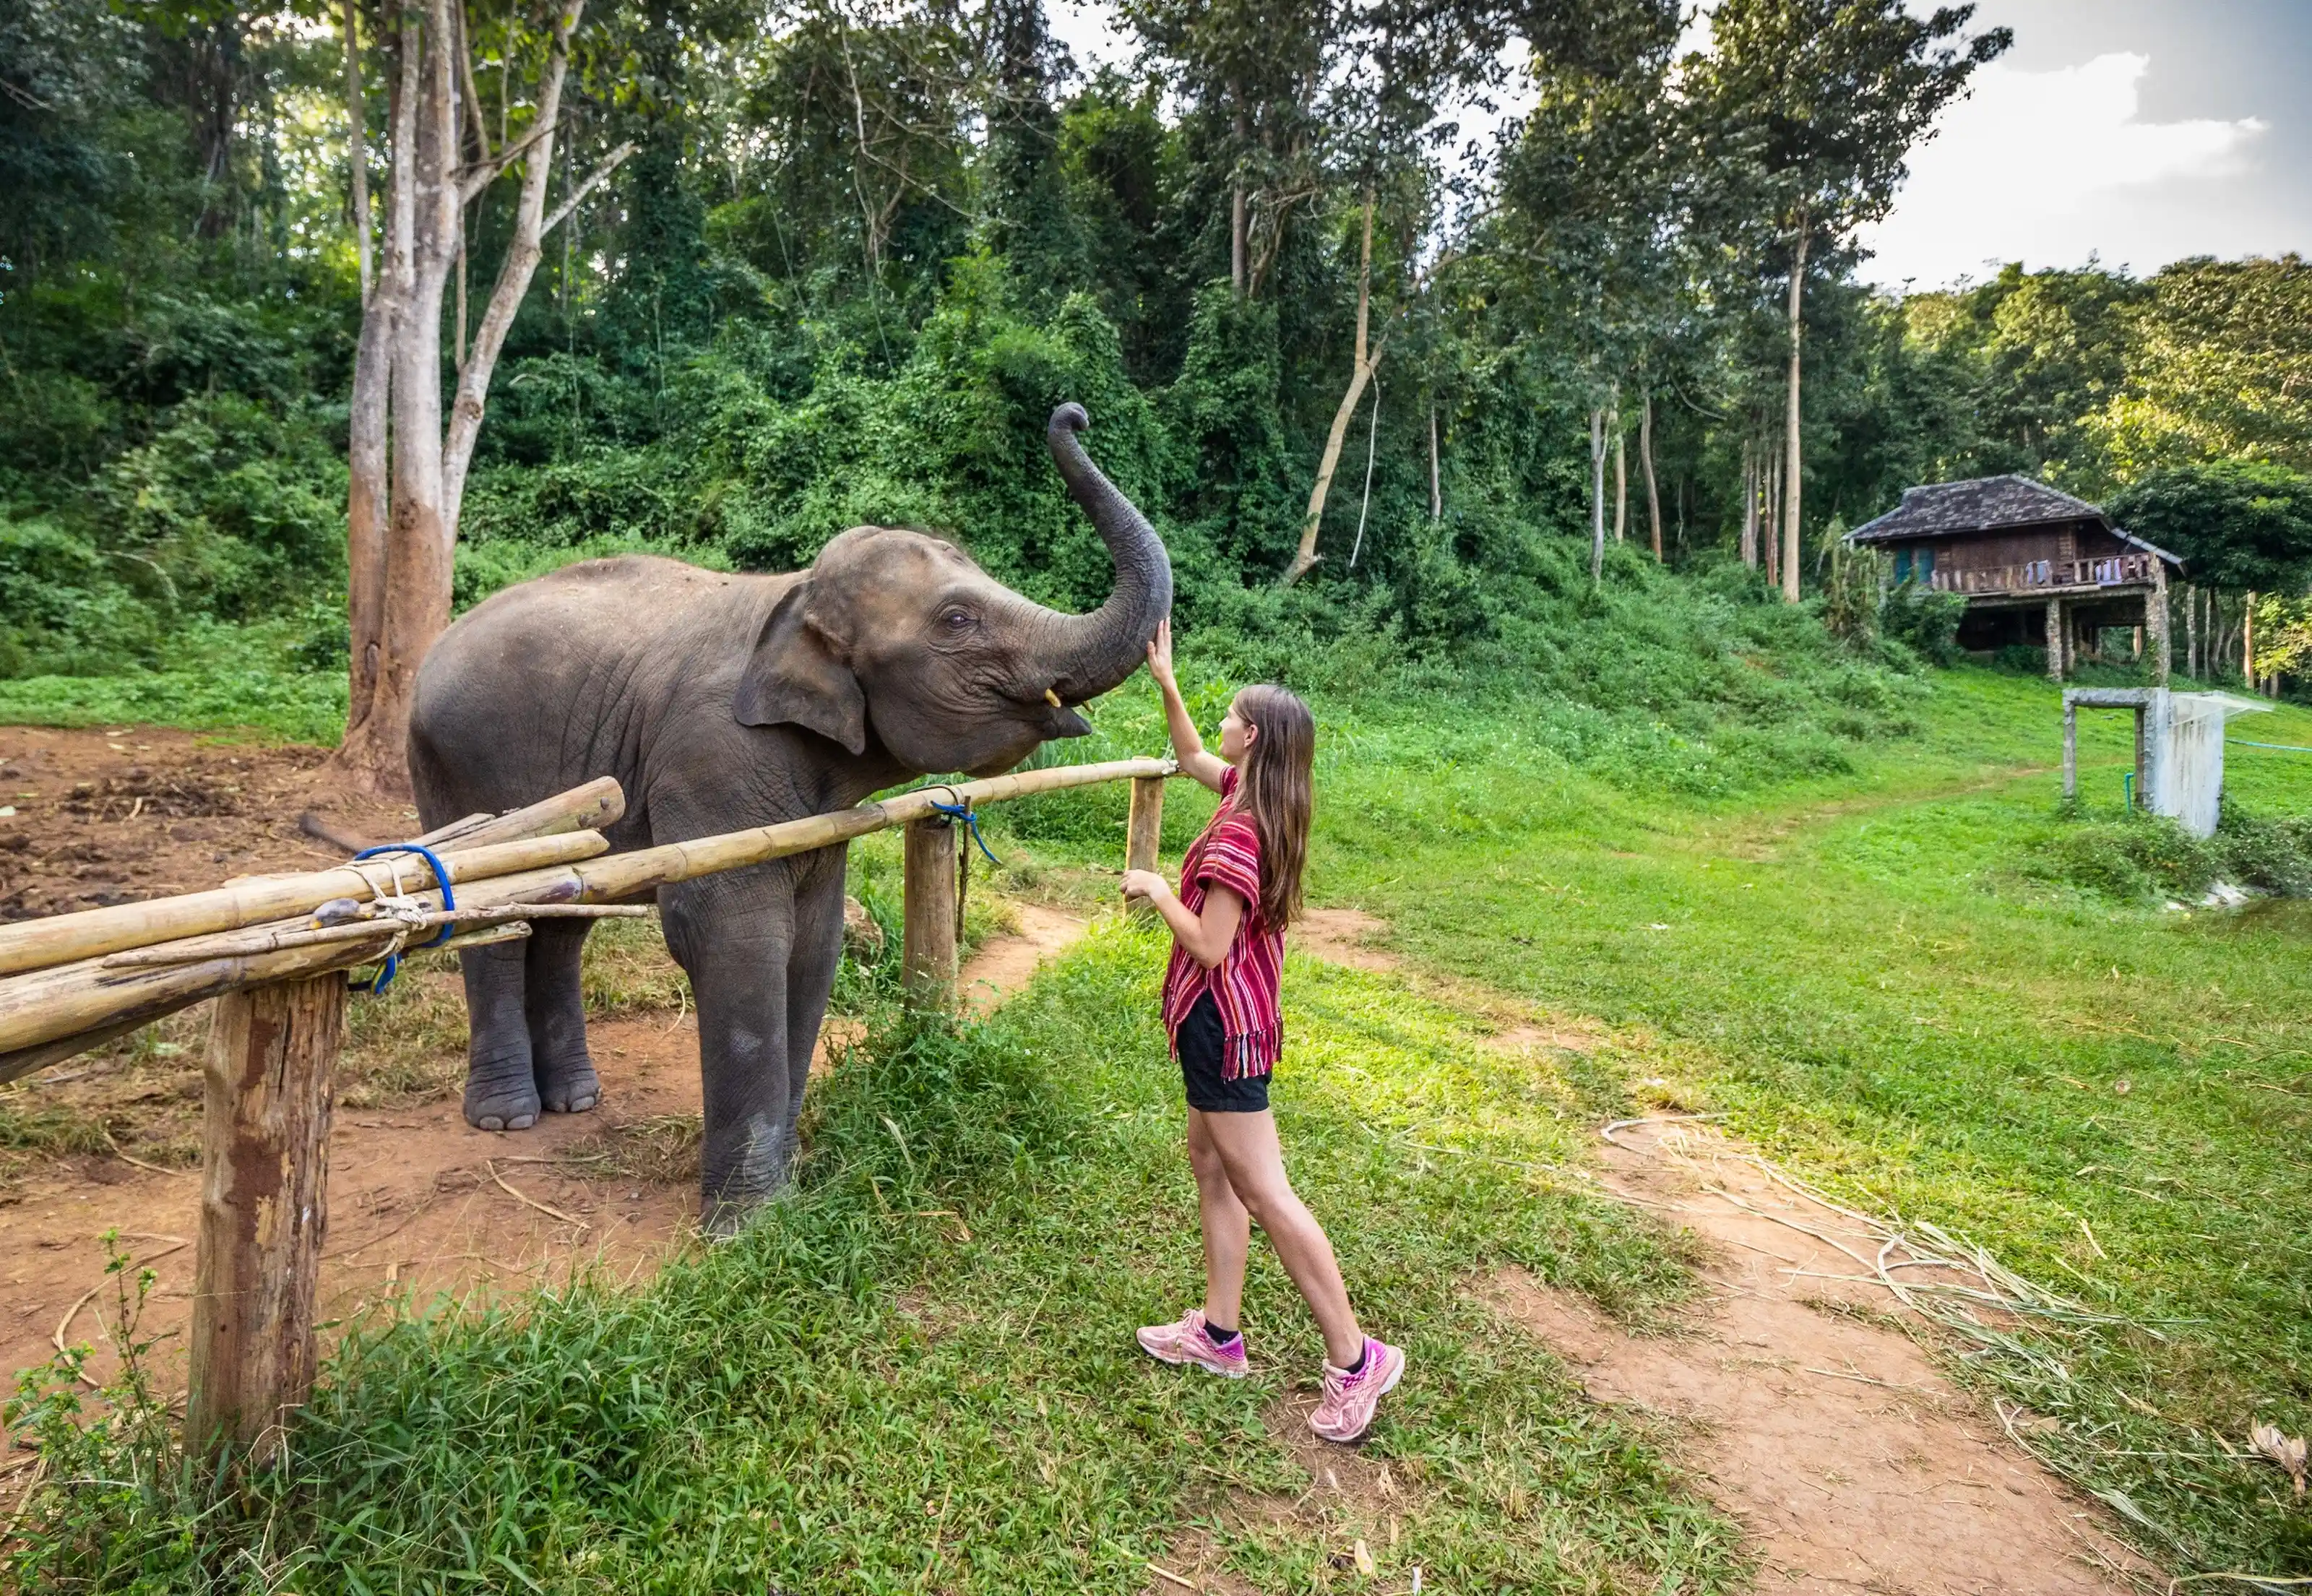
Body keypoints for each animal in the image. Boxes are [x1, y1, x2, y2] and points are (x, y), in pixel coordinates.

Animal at [407, 405, 1165, 1221]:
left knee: (563, 920)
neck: (794, 594)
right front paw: (748, 1223)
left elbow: (814, 939)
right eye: (957, 619)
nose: (1070, 413)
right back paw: (507, 1117)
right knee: (490, 917)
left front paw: (791, 1187)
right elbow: (735, 935)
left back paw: (575, 1102)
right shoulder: (713, 760)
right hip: (453, 771)